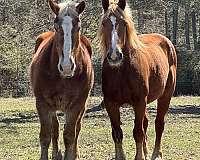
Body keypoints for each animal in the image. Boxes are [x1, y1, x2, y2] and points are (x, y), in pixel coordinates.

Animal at [30, 0, 94, 159]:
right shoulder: (42, 104)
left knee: (77, 129)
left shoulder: (76, 105)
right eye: (56, 26)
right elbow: (46, 136)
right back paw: (56, 154)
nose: (66, 66)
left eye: (78, 26)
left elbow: (70, 136)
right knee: (55, 127)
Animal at [98, 0, 177, 160]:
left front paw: (140, 156)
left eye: (123, 23)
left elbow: (138, 132)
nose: (114, 55)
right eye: (104, 23)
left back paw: (156, 153)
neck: (121, 72)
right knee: (145, 123)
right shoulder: (111, 103)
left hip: (165, 96)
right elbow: (117, 133)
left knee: (159, 124)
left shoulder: (139, 101)